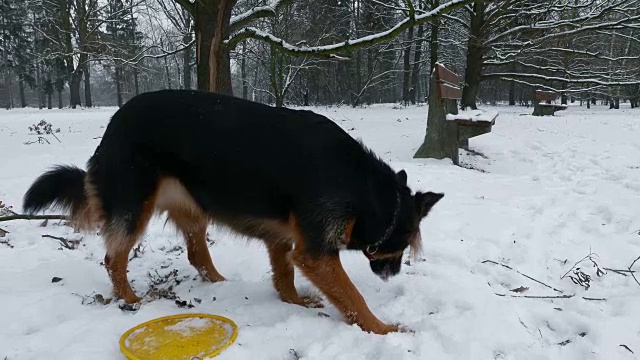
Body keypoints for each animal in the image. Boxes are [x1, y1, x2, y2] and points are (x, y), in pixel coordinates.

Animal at [21, 90, 440, 334]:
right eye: (404, 244)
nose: (391, 274)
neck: (367, 191)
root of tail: (112, 125)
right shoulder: (315, 252)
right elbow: (353, 298)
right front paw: (383, 329)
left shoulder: (286, 238)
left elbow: (284, 275)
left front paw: (295, 302)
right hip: (133, 207)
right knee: (113, 258)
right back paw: (131, 299)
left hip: (190, 206)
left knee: (195, 252)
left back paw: (220, 284)